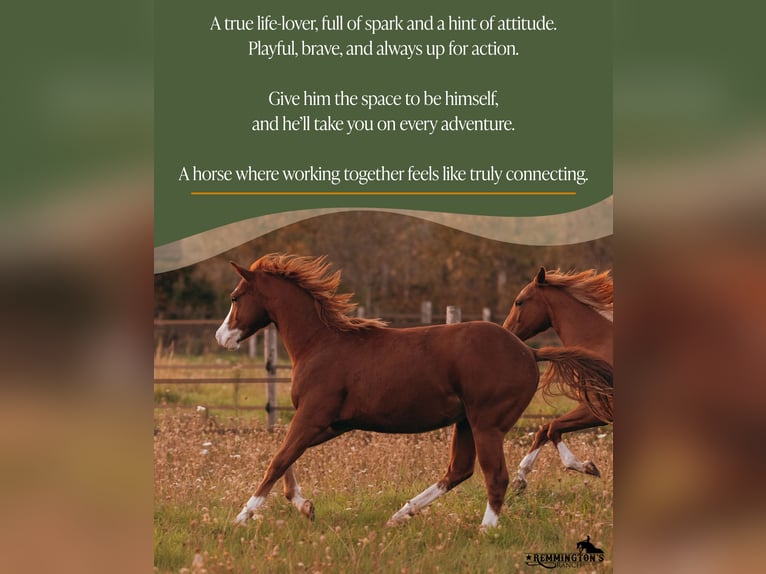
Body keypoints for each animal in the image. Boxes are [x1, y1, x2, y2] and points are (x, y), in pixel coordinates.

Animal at [503, 267, 613, 492]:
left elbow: (552, 428)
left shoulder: (596, 409)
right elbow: (543, 430)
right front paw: (520, 478)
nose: (505, 330)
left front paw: (588, 467)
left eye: (519, 301)